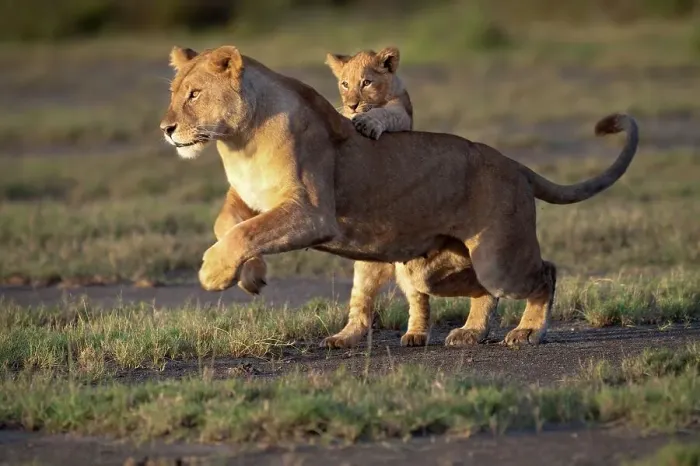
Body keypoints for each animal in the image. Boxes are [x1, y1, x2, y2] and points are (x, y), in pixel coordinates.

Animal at [159, 45, 639, 348]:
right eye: (173, 93)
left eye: (195, 94)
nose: (166, 129)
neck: (238, 141)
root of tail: (512, 164)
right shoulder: (248, 199)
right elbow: (229, 225)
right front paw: (249, 275)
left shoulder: (311, 213)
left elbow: (246, 232)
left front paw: (213, 273)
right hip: (436, 270)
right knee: (479, 291)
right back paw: (468, 333)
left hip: (498, 259)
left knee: (545, 273)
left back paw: (527, 333)